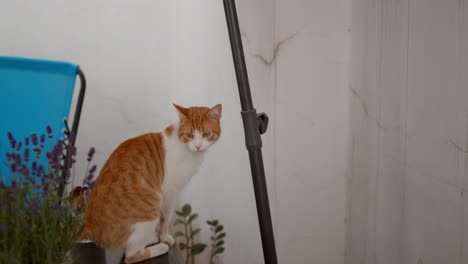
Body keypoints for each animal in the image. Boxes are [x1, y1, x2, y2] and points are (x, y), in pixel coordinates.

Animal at [81, 104, 223, 262]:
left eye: (206, 134)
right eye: (189, 135)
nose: (198, 146)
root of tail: (90, 226)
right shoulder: (169, 193)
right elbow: (166, 219)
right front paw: (165, 238)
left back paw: (151, 239)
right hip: (152, 205)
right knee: (131, 256)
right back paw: (159, 247)